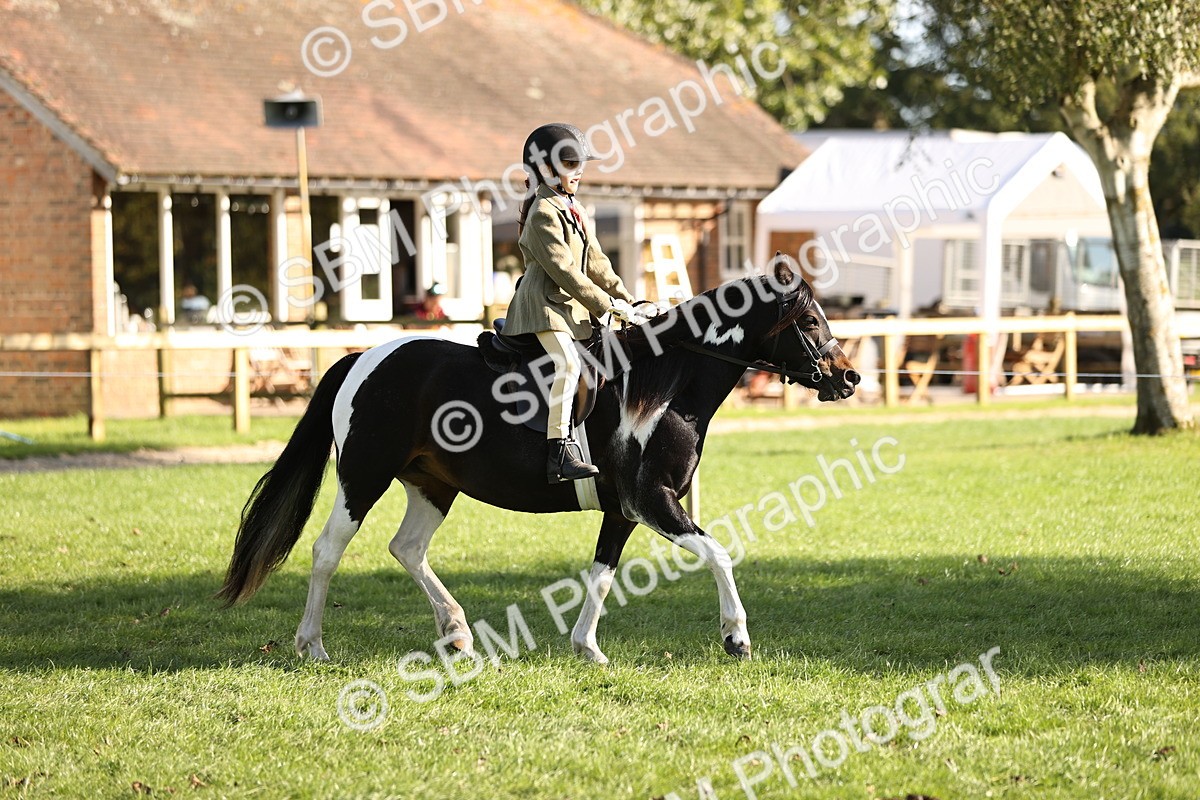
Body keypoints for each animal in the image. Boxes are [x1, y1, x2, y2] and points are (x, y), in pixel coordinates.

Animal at [217, 258, 860, 664]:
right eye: (808, 321)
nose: (848, 377)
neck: (666, 383)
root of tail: (364, 356)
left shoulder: (623, 509)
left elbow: (601, 574)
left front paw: (587, 648)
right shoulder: (653, 501)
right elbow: (721, 553)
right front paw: (736, 638)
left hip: (434, 485)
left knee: (408, 548)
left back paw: (457, 634)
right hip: (363, 477)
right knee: (328, 551)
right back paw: (313, 646)